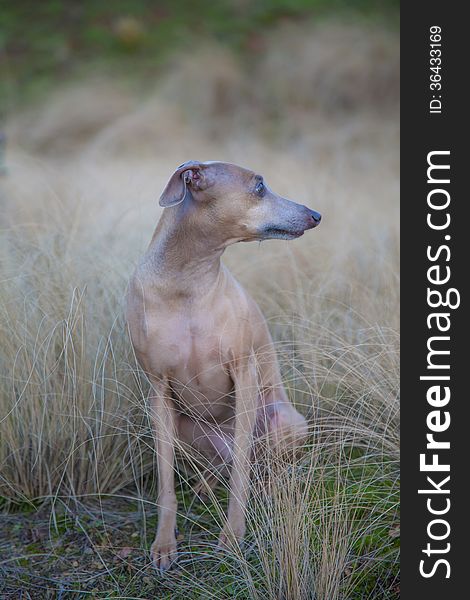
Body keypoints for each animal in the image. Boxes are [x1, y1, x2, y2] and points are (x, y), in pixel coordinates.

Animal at [126, 161, 322, 572]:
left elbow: (240, 480)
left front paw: (232, 536)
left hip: (284, 421)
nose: (316, 215)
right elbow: (165, 485)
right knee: (220, 467)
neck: (186, 281)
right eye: (260, 186)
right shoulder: (158, 392)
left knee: (257, 466)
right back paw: (204, 484)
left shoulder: (244, 374)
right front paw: (164, 544)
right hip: (184, 428)